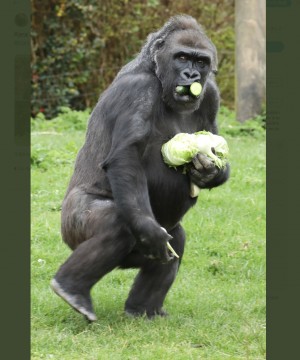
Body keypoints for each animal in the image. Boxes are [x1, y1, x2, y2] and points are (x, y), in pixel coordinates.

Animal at [51, 15, 230, 322]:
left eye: (201, 62)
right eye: (182, 57)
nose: (191, 76)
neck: (156, 72)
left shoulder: (211, 95)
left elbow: (213, 143)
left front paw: (208, 172)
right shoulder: (138, 89)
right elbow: (126, 156)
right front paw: (147, 227)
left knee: (175, 239)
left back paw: (143, 310)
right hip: (72, 226)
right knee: (118, 226)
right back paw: (72, 288)